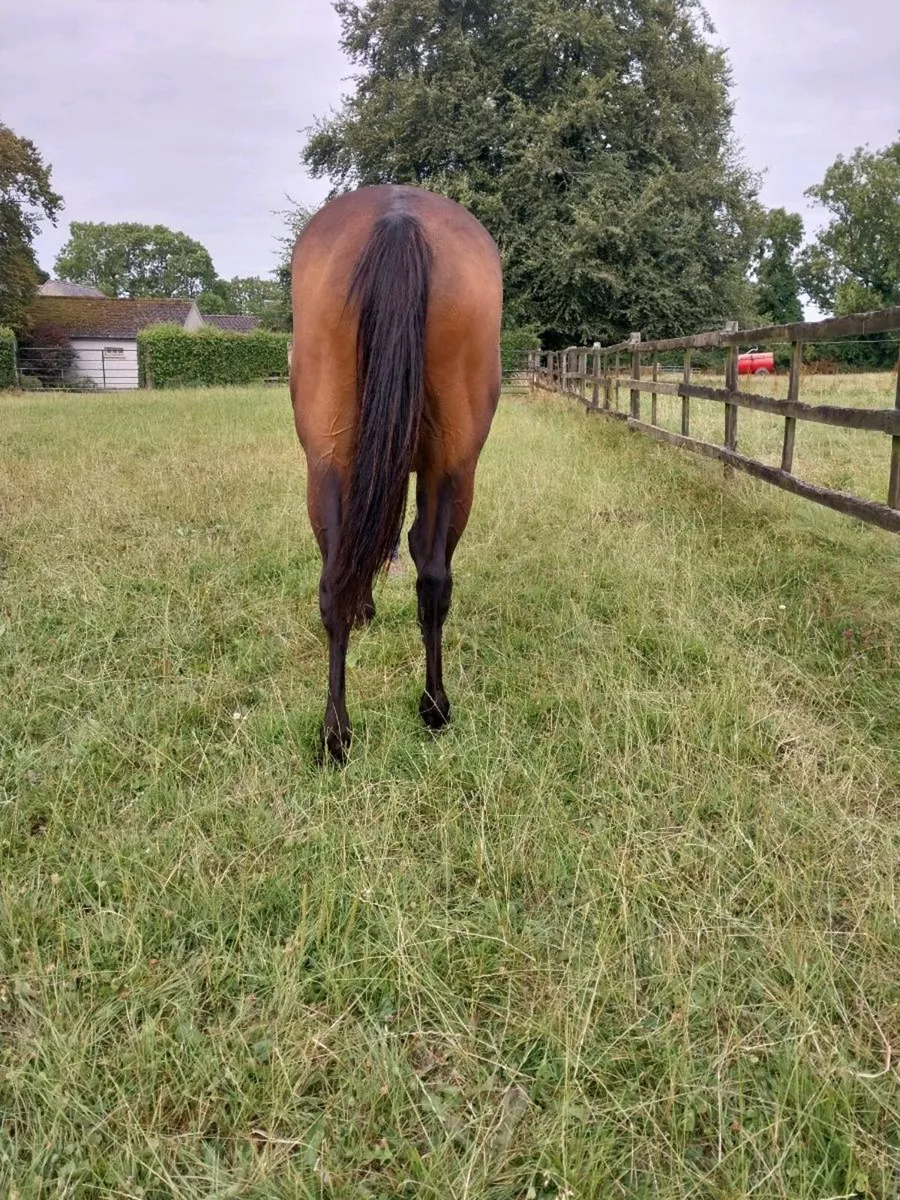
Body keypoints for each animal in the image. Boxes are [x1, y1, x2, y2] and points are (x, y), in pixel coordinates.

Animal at [289, 185, 503, 763]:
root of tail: (398, 217)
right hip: (453, 461)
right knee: (431, 578)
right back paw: (428, 709)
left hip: (331, 462)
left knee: (338, 578)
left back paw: (338, 734)